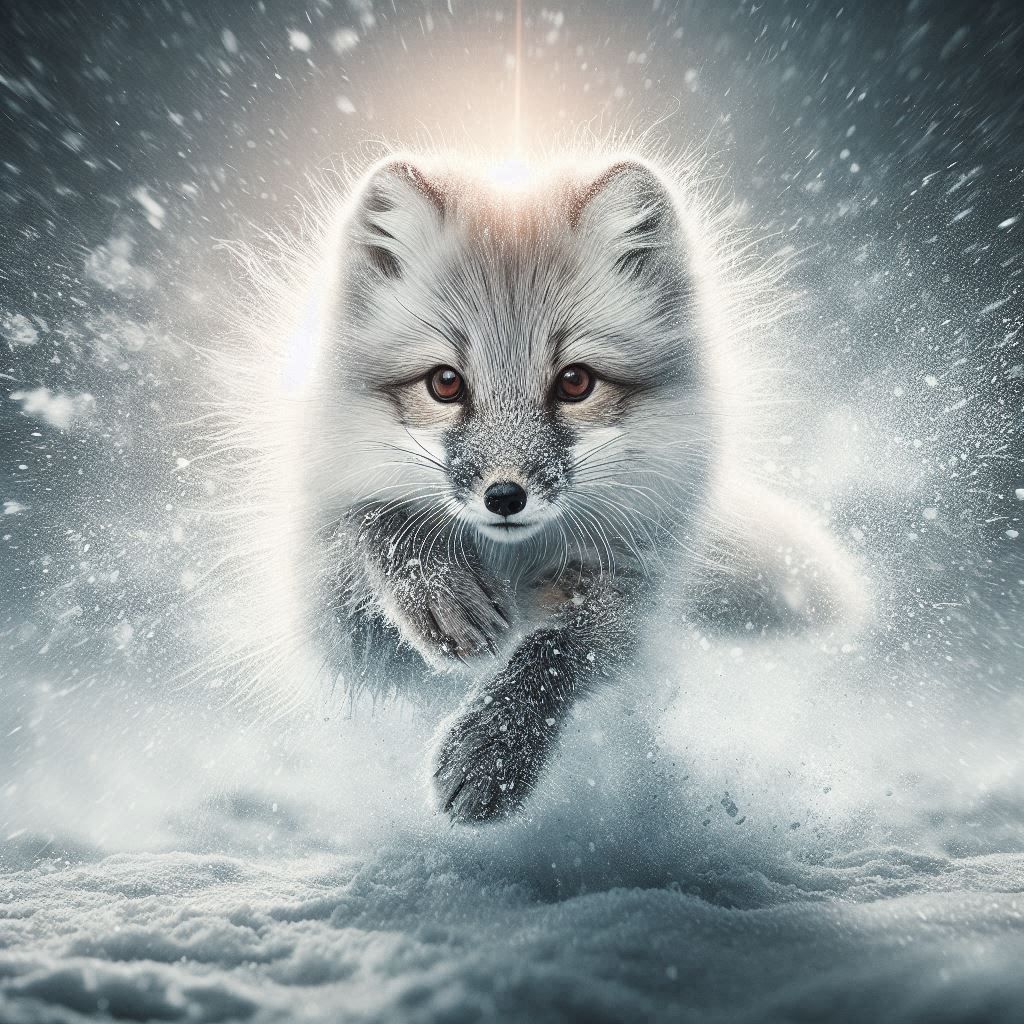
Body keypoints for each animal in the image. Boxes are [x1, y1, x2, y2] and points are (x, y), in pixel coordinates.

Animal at [215, 151, 869, 824]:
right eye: (445, 383)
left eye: (575, 382)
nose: (505, 497)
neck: (511, 559)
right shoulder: (331, 626)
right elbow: (376, 523)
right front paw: (443, 596)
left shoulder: (633, 585)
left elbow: (558, 651)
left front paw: (493, 747)